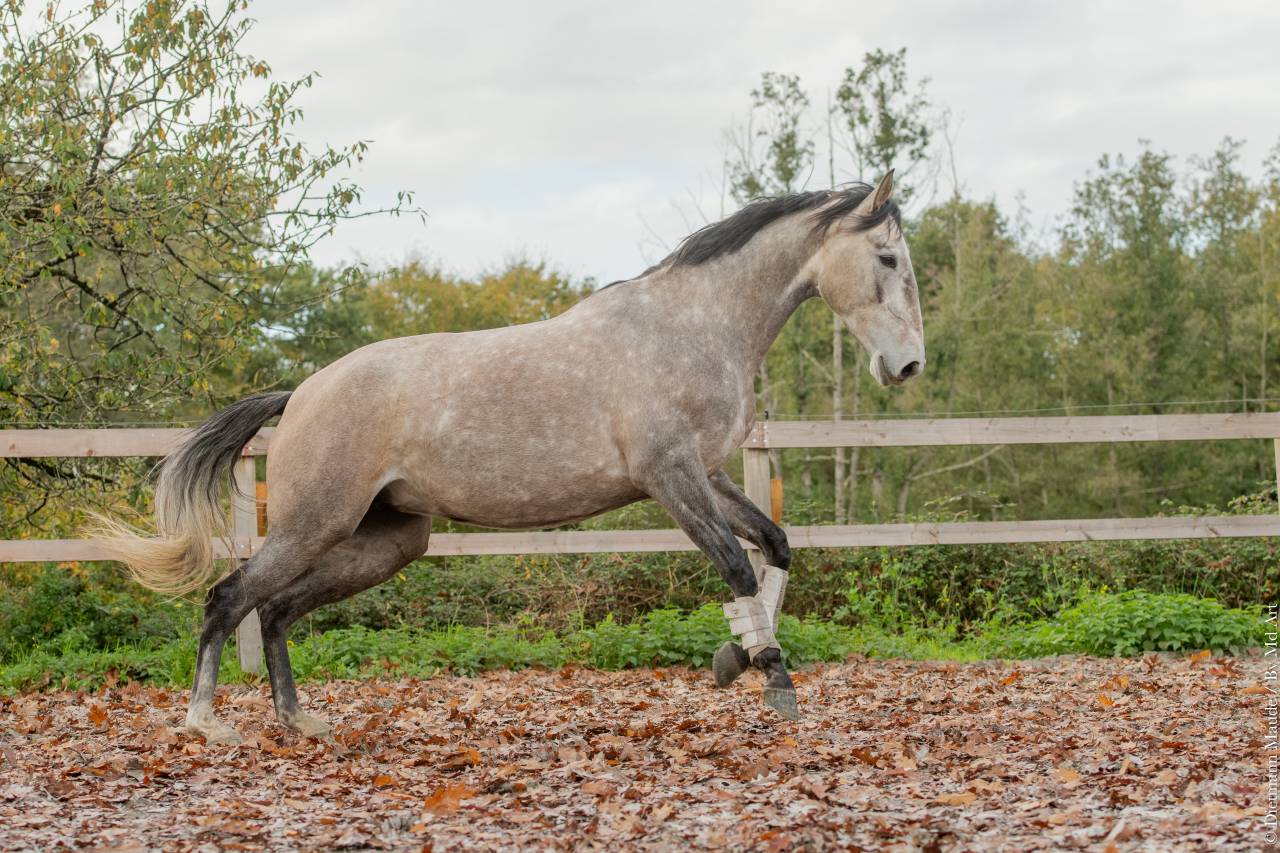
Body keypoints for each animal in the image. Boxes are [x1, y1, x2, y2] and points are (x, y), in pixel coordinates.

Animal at [95, 170, 925, 744]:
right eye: (887, 258)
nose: (908, 366)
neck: (690, 326)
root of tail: (301, 392)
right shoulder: (672, 477)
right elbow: (737, 566)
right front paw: (771, 676)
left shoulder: (713, 474)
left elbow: (775, 546)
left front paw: (741, 658)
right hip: (315, 524)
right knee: (230, 597)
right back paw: (208, 722)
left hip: (387, 540)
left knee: (275, 609)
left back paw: (301, 721)